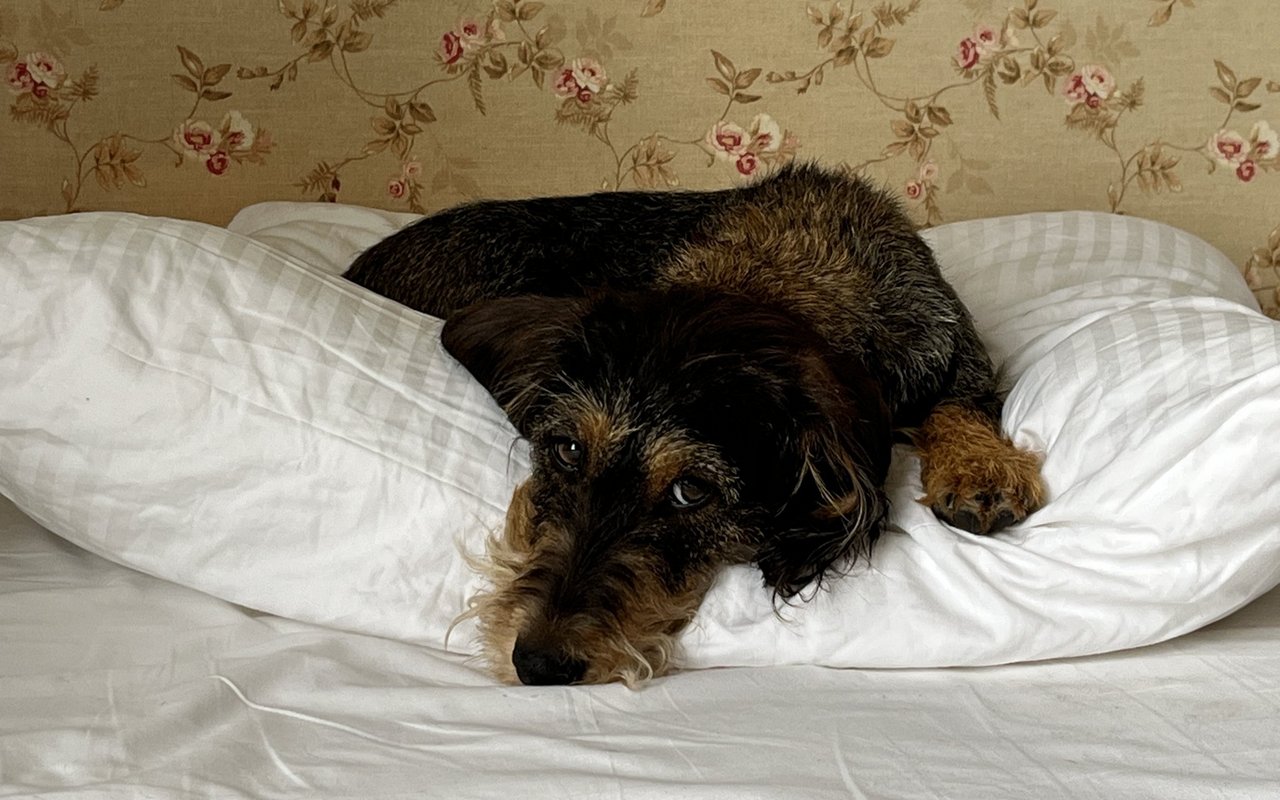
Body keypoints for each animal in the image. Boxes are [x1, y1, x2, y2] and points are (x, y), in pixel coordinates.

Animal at [345, 162, 1044, 686]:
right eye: (568, 450)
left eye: (691, 491)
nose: (537, 664)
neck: (781, 272)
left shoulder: (953, 352)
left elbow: (960, 402)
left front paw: (980, 465)